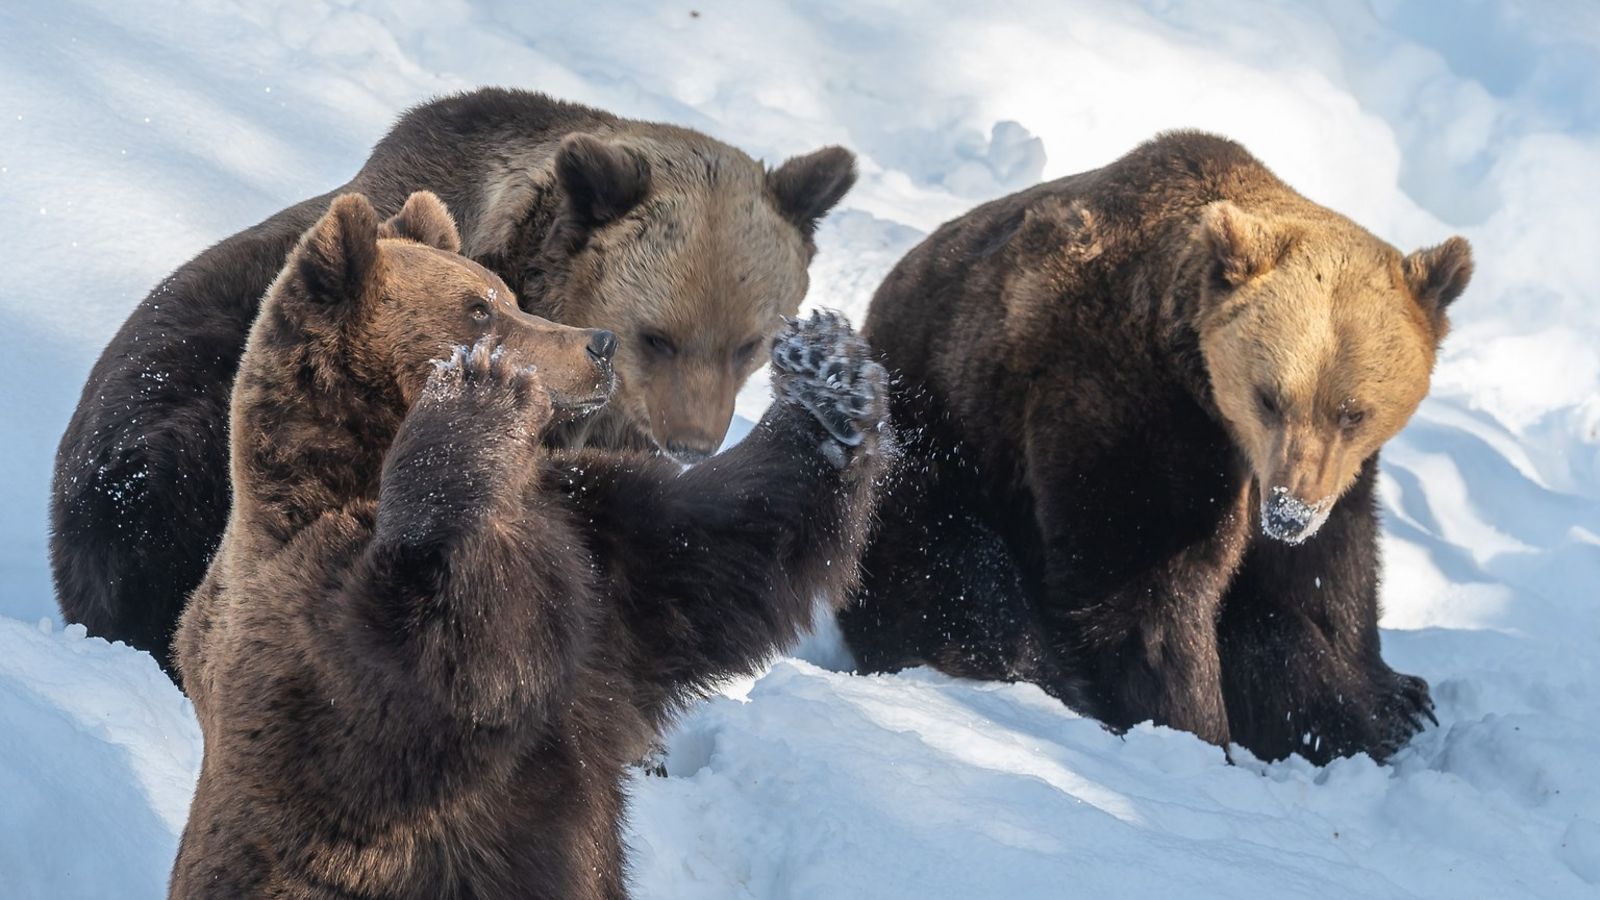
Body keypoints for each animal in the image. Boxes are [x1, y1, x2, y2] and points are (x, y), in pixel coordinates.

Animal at [176, 190, 902, 896]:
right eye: (477, 309)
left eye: (507, 295)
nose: (599, 344)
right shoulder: (306, 645)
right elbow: (436, 665)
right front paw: (477, 393)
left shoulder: (592, 551)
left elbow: (722, 549)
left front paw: (827, 373)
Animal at [838, 131, 1472, 762]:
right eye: (1269, 398)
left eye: (1352, 412)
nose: (1288, 513)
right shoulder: (1127, 409)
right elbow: (1142, 590)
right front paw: (1192, 731)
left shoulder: (1331, 474)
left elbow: (1330, 569)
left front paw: (1391, 698)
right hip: (933, 443)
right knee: (960, 576)